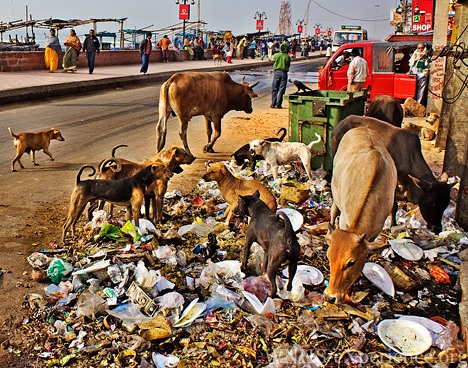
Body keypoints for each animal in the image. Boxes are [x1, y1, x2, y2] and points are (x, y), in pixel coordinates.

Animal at [324, 128, 396, 304]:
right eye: (329, 257)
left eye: (351, 263)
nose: (329, 297)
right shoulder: (344, 219)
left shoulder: (376, 229)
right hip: (336, 193)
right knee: (334, 211)